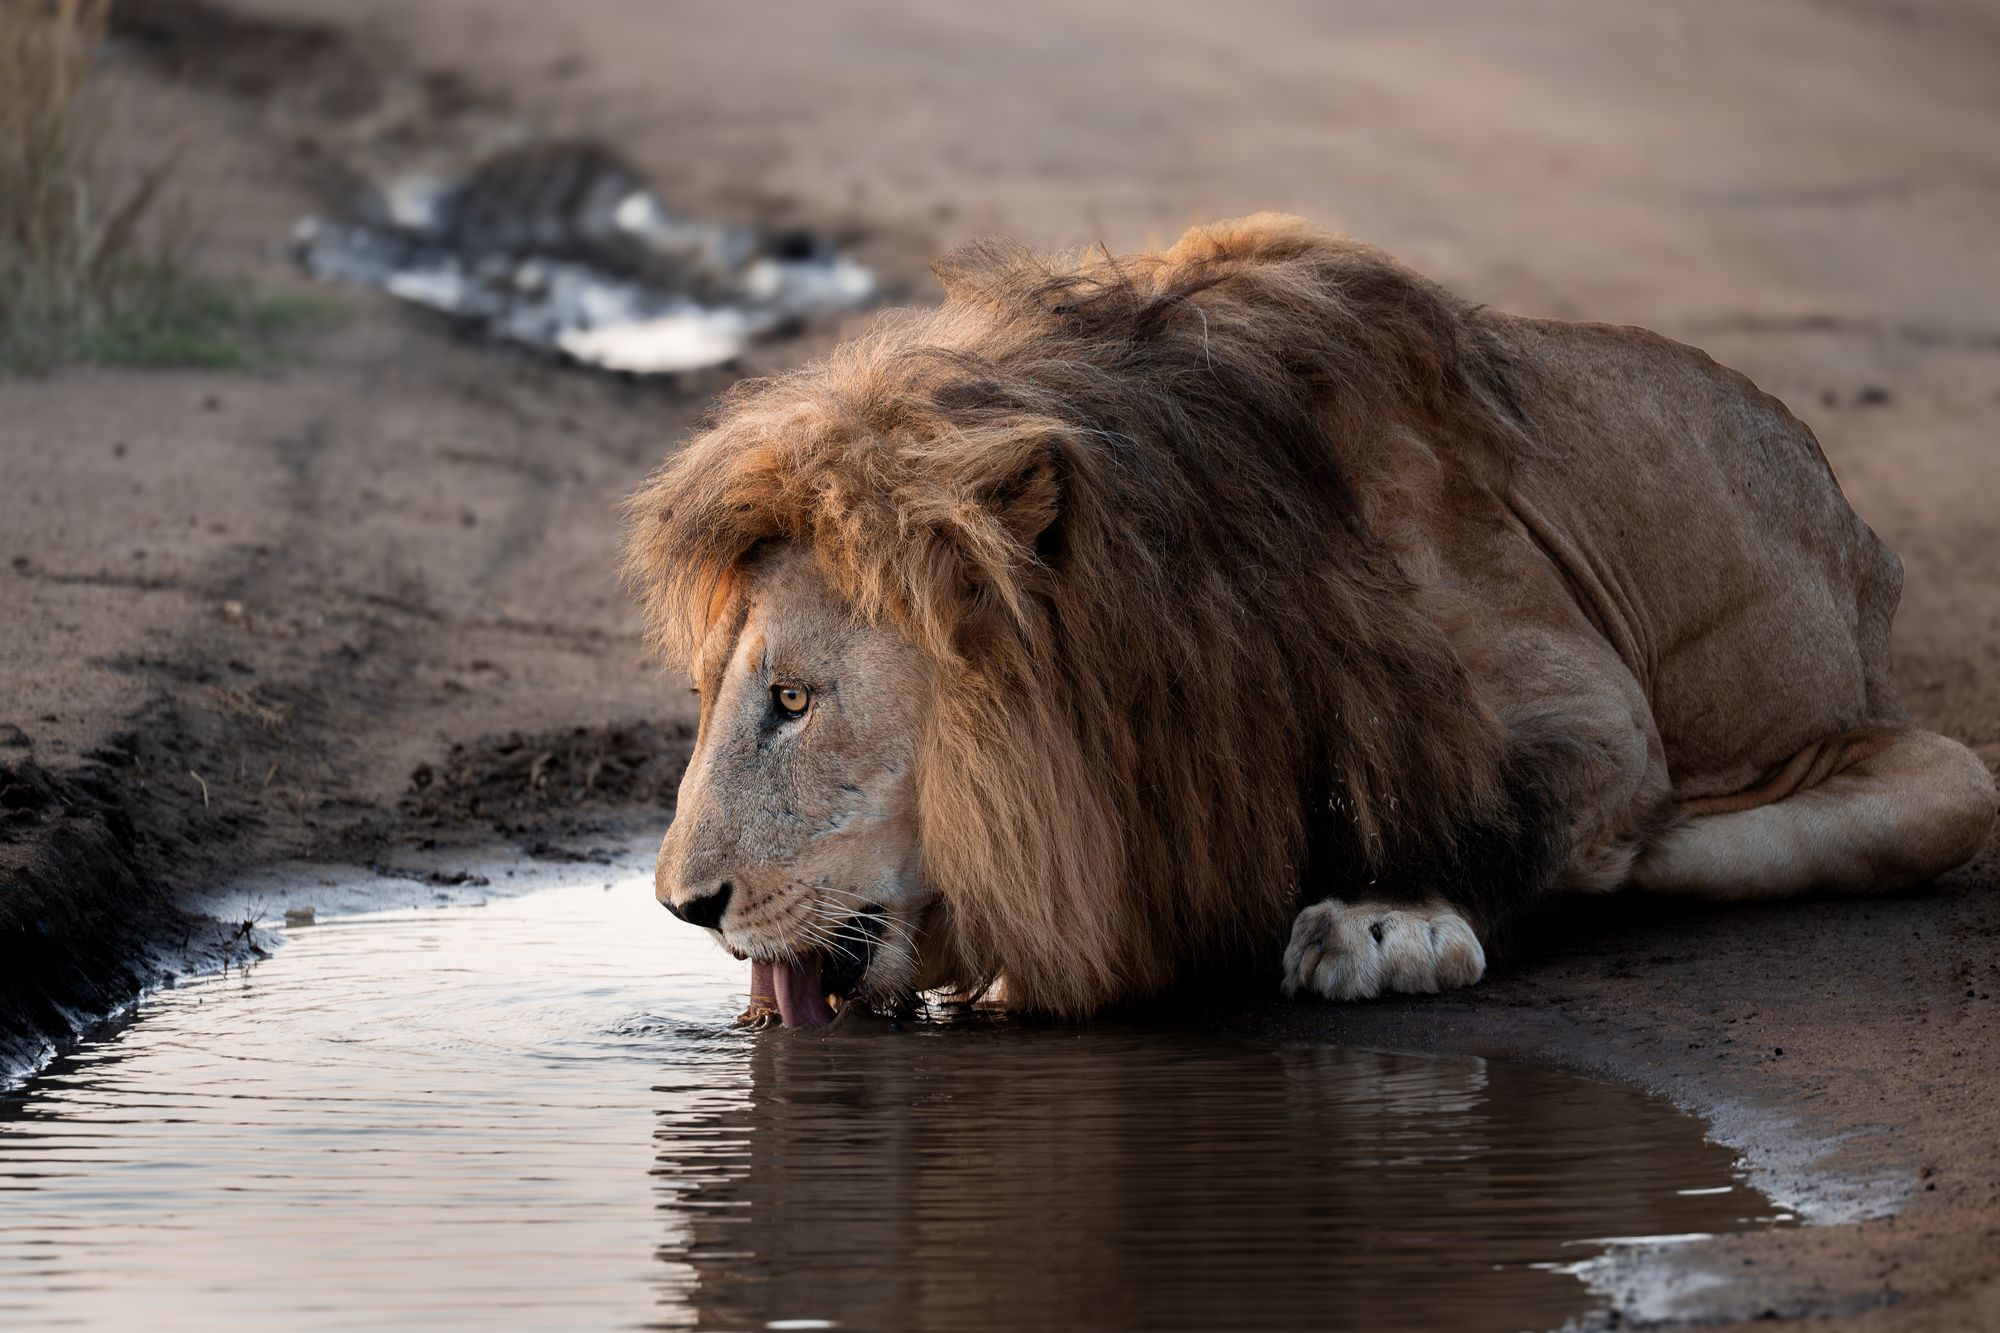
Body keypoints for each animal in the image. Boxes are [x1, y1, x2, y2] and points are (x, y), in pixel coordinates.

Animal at [625, 214, 1996, 1027]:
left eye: (792, 701)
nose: (682, 907)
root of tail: (1847, 520)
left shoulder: (1587, 700)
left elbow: (1520, 811)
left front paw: (1387, 923)